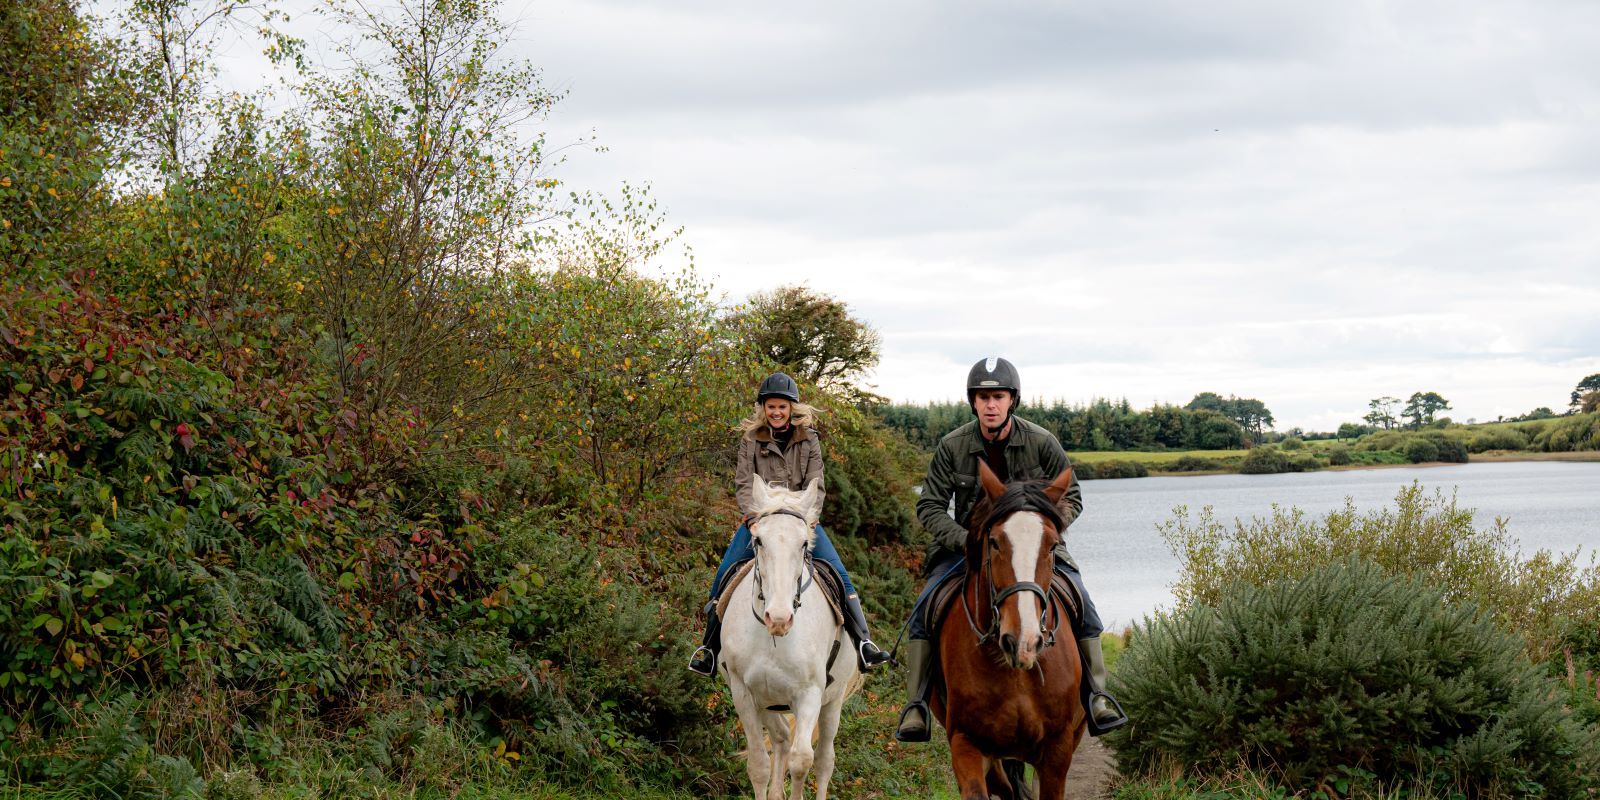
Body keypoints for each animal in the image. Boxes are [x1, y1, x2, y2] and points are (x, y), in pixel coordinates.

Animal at [720, 476, 857, 796]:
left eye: (804, 543)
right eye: (758, 540)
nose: (779, 618)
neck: (773, 639)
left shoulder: (809, 695)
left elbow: (802, 762)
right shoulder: (744, 694)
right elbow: (758, 765)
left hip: (832, 703)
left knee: (824, 760)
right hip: (768, 702)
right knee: (782, 736)